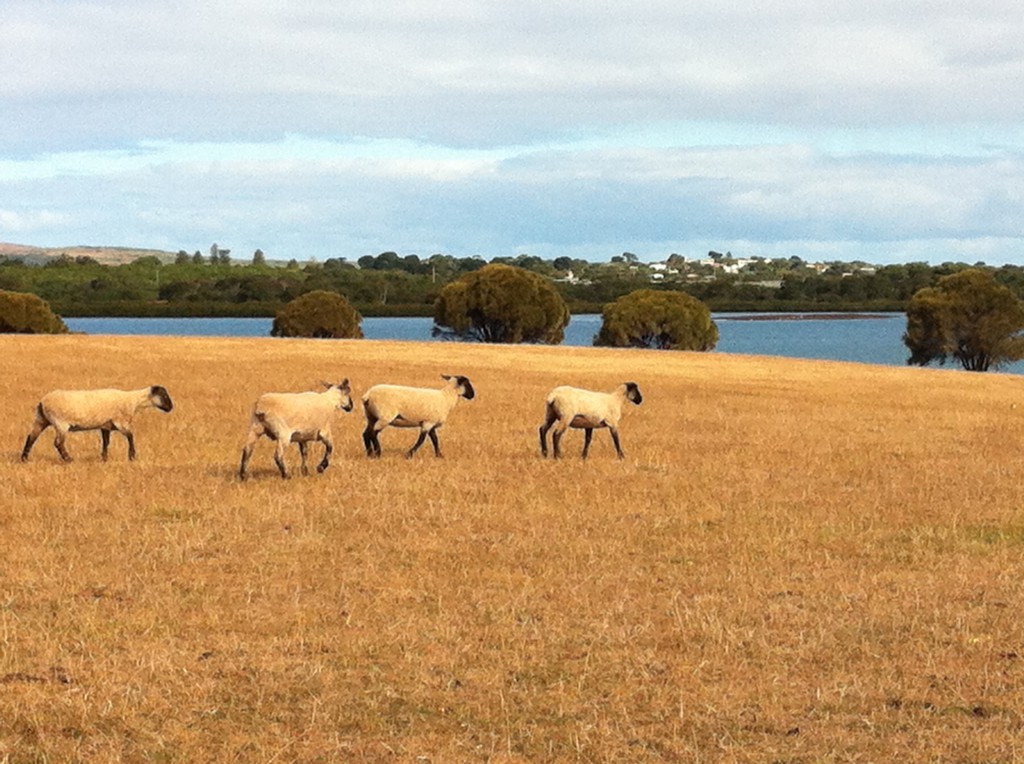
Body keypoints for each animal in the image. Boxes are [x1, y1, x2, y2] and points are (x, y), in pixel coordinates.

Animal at [21, 385, 174, 463]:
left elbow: (106, 442)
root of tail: (42, 402)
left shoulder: (105, 426)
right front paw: (132, 456)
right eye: (164, 395)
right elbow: (131, 436)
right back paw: (69, 459)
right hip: (60, 423)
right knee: (58, 443)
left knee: (31, 437)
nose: (171, 408)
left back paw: (24, 459)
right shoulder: (120, 422)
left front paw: (104, 458)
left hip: (41, 419)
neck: (133, 401)